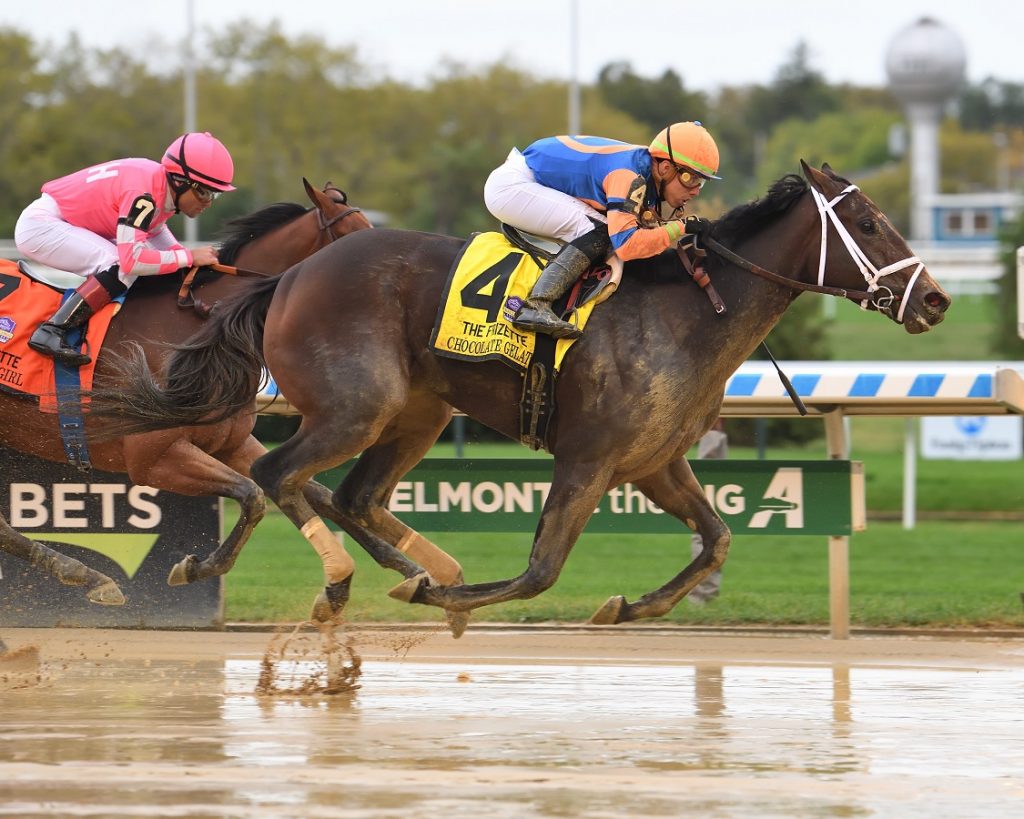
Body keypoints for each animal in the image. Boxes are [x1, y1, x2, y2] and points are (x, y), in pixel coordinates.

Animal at [1, 176, 372, 606]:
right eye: (355, 240)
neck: (202, 333)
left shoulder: (232, 443)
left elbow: (310, 493)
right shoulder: (154, 458)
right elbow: (252, 496)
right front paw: (197, 567)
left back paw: (85, 574)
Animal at [88, 162, 950, 630]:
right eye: (868, 221)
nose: (937, 301)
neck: (686, 310)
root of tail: (289, 276)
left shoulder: (654, 463)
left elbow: (718, 538)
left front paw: (629, 606)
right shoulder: (588, 458)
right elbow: (541, 570)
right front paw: (457, 600)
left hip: (419, 410)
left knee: (352, 494)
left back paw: (407, 568)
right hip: (356, 406)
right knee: (277, 476)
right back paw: (303, 580)